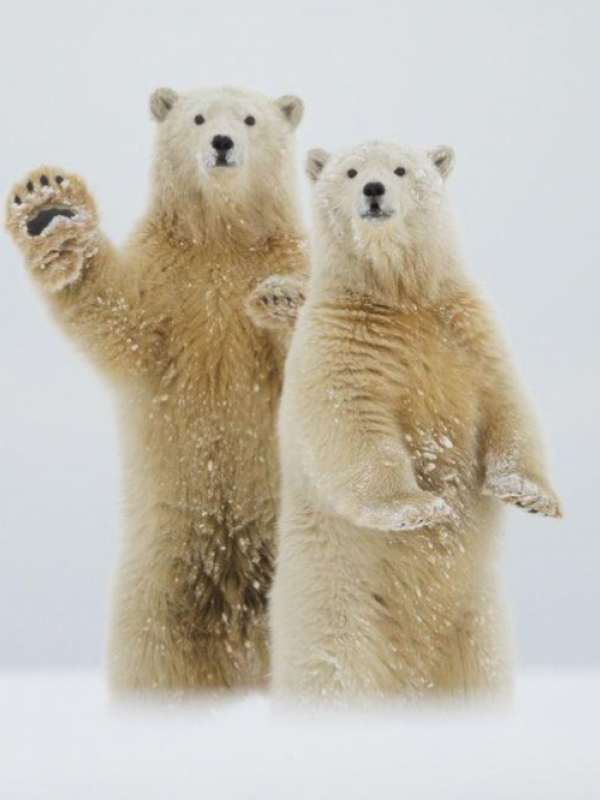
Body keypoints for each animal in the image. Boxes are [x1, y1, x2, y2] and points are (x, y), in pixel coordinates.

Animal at [7, 84, 310, 692]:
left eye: (250, 118)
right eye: (197, 117)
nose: (222, 143)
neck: (221, 240)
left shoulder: (280, 256)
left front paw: (284, 298)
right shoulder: (169, 282)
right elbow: (119, 316)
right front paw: (48, 205)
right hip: (156, 585)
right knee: (151, 659)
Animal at [272, 141, 564, 696]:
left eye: (401, 169)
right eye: (350, 171)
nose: (373, 190)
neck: (401, 295)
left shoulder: (466, 327)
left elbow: (507, 401)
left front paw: (530, 495)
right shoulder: (341, 340)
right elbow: (351, 421)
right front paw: (417, 507)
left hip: (476, 620)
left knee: (481, 672)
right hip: (334, 602)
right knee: (335, 669)